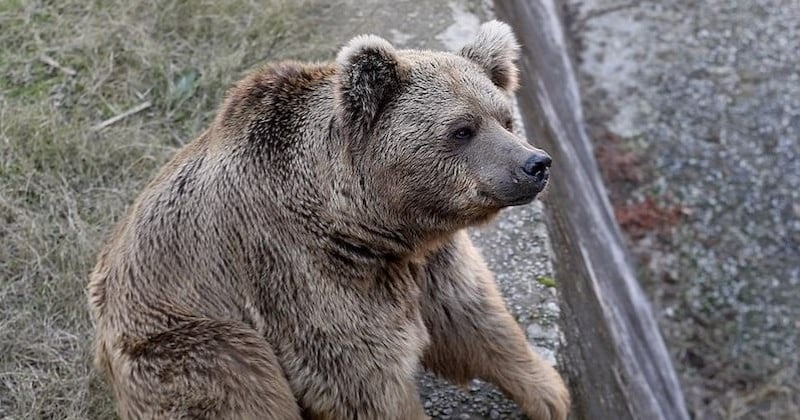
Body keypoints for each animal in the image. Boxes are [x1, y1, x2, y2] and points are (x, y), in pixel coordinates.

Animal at [89, 20, 568, 420]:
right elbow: (359, 377)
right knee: (238, 385)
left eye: (505, 118)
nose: (535, 163)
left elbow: (471, 315)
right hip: (183, 339)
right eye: (461, 130)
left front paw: (550, 393)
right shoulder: (304, 273)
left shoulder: (427, 259)